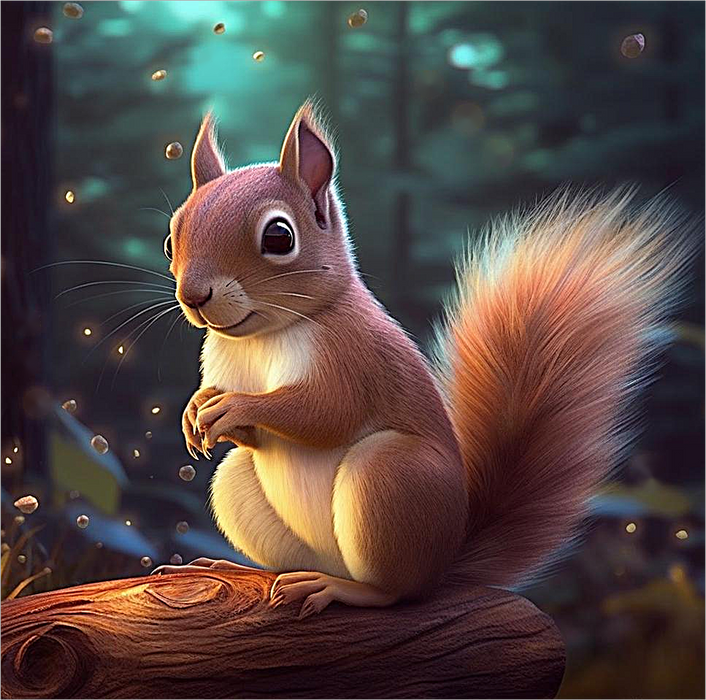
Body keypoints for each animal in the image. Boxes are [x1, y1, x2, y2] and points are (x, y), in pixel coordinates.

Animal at [152, 100, 699, 619]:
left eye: (279, 237)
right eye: (171, 236)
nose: (193, 296)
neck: (264, 336)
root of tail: (444, 561)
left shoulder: (352, 356)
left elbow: (326, 412)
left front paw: (233, 408)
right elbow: (249, 430)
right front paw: (195, 412)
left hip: (391, 480)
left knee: (394, 590)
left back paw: (339, 589)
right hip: (243, 489)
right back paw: (234, 568)